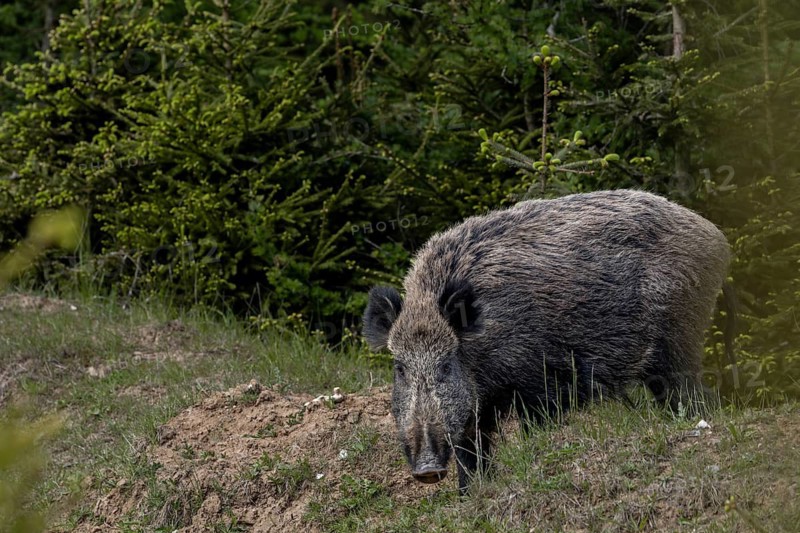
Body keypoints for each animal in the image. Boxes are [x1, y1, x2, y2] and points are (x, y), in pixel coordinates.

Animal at [363, 189, 731, 492]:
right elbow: (471, 451)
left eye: (445, 364)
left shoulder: (537, 380)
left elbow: (533, 426)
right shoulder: (476, 409)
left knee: (690, 390)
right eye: (399, 368)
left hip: (681, 335)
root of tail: (716, 236)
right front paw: (470, 494)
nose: (427, 470)